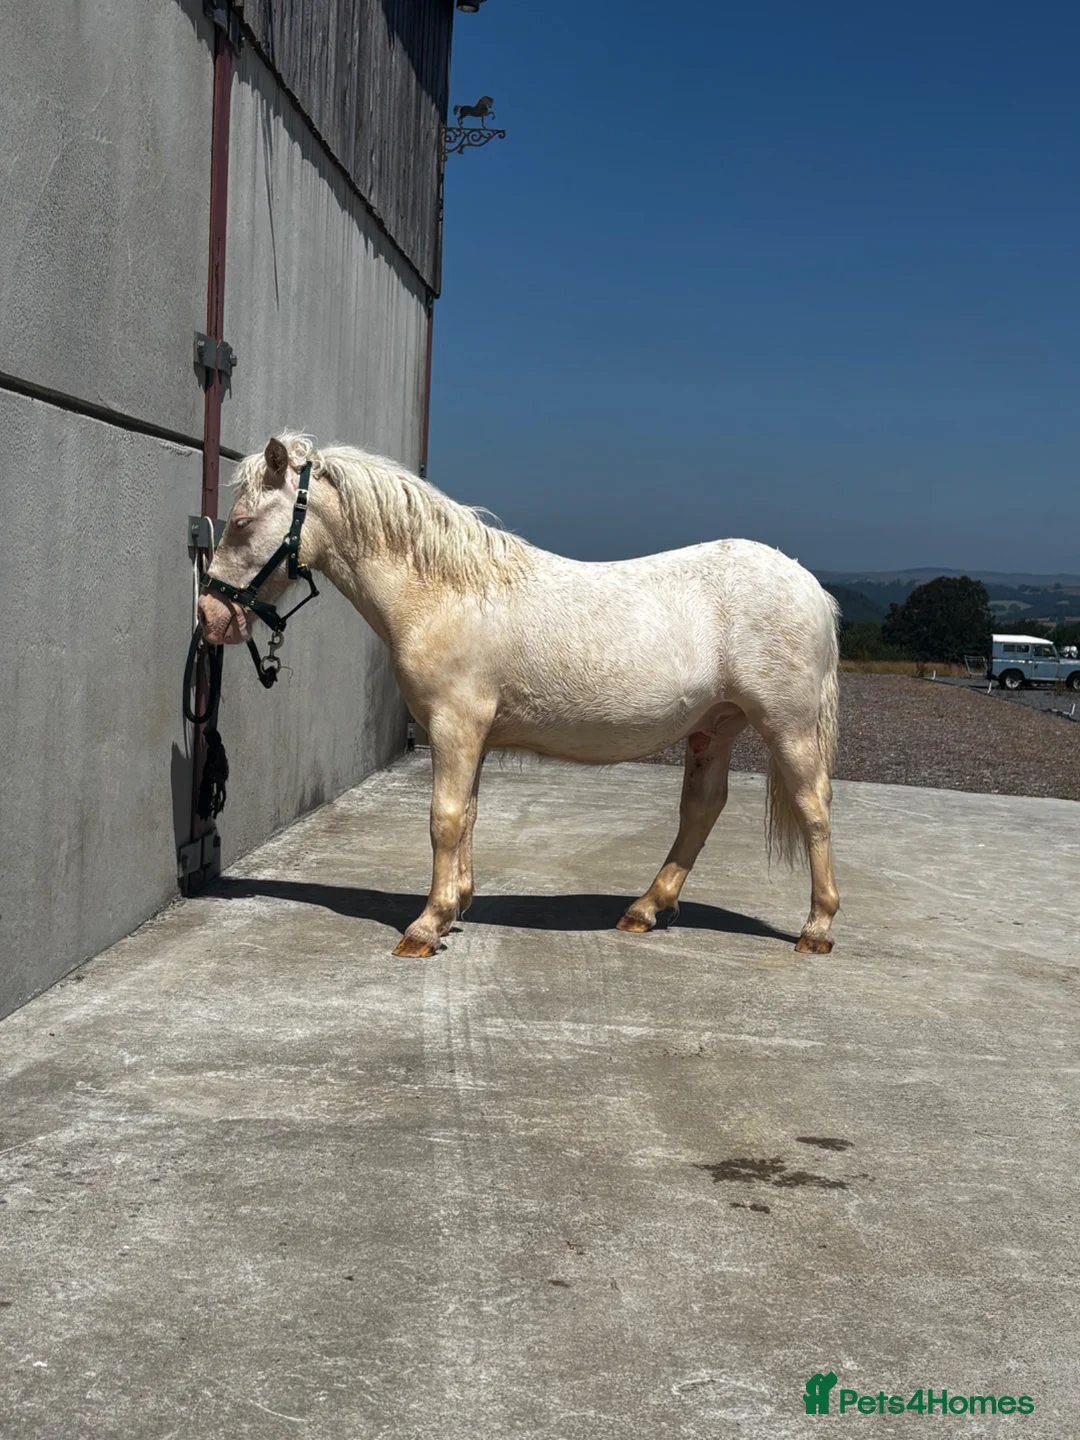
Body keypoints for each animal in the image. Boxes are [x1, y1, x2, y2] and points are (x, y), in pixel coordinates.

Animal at [198, 435, 841, 960]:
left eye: (243, 521)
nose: (209, 615)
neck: (446, 592)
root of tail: (810, 585)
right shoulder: (472, 734)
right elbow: (469, 816)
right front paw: (456, 905)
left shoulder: (455, 725)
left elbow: (444, 818)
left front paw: (426, 926)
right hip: (715, 726)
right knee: (702, 810)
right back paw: (645, 909)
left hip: (786, 725)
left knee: (812, 808)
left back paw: (817, 927)